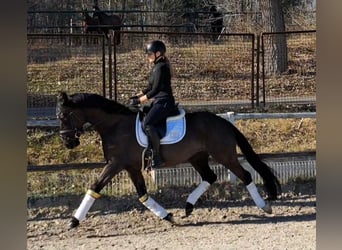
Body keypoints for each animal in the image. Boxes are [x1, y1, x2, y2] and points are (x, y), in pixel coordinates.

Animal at [56, 92, 280, 229]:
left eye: (64, 116)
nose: (67, 142)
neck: (114, 125)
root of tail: (222, 121)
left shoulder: (115, 164)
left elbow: (95, 187)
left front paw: (73, 221)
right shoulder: (131, 167)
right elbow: (142, 195)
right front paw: (168, 216)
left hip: (224, 155)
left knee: (246, 175)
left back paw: (264, 206)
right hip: (197, 157)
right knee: (210, 176)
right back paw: (188, 206)